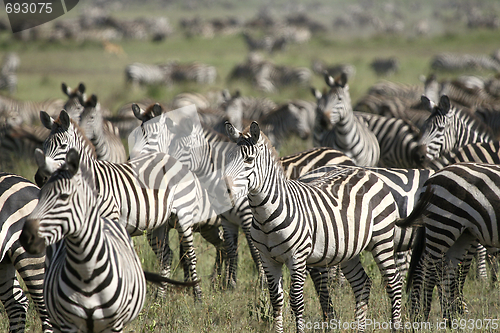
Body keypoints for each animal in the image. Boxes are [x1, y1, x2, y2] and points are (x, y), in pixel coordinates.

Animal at [32, 109, 223, 300]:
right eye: (44, 146)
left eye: (63, 146)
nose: (40, 178)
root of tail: (174, 160)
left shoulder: (109, 219)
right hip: (158, 225)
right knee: (166, 255)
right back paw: (160, 298)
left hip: (184, 216)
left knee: (190, 255)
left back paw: (198, 296)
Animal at [225, 121, 404, 332]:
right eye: (228, 159)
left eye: (249, 160)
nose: (226, 190)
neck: (265, 216)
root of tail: (365, 170)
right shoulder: (268, 259)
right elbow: (276, 301)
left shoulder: (297, 258)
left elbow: (296, 301)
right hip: (348, 249)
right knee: (362, 283)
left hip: (382, 240)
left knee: (394, 283)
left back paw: (396, 325)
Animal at [398, 162, 500, 322]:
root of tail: (430, 180)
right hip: (445, 224)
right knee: (428, 270)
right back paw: (421, 316)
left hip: (461, 233)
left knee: (446, 271)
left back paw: (450, 320)